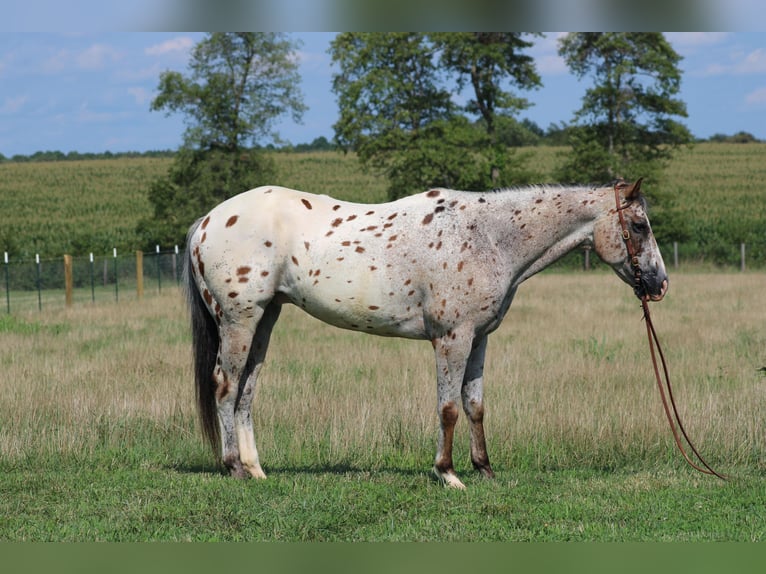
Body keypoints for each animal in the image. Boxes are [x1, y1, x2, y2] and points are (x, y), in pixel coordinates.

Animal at [183, 178, 668, 488]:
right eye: (639, 226)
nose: (660, 284)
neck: (489, 237)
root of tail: (206, 221)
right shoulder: (452, 338)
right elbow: (449, 408)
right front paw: (448, 473)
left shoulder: (479, 338)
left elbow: (475, 406)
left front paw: (484, 469)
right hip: (240, 320)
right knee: (225, 387)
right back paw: (233, 467)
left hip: (264, 320)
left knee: (247, 390)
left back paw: (256, 469)